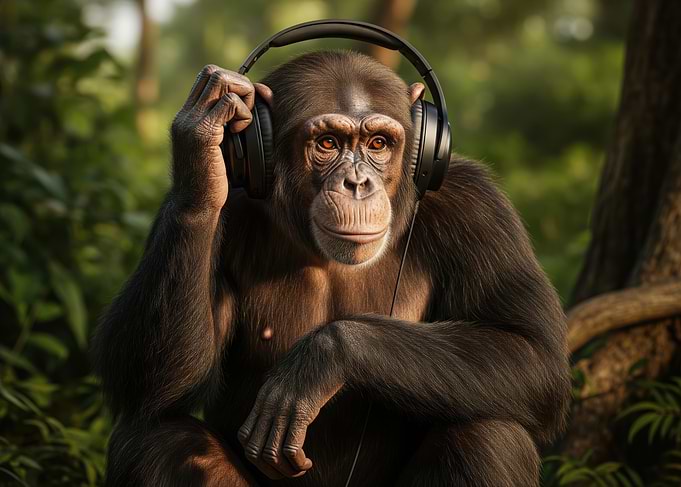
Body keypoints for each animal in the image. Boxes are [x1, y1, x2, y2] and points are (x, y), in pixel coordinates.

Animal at [93, 50, 570, 487]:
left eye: (378, 144)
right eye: (327, 144)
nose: (357, 183)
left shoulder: (477, 208)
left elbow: (532, 353)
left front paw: (321, 359)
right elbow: (151, 387)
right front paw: (205, 127)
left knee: (488, 434)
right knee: (156, 439)